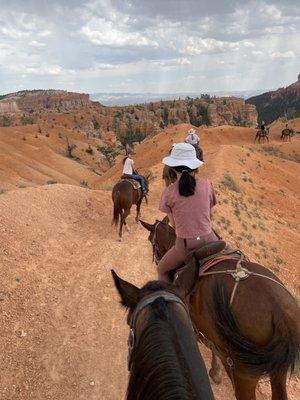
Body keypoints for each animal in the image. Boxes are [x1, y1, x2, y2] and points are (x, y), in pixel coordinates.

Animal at [139, 219, 298, 400]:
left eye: (150, 239)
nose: (158, 260)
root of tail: (281, 312)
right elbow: (212, 346)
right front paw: (215, 372)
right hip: (278, 370)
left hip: (244, 372)